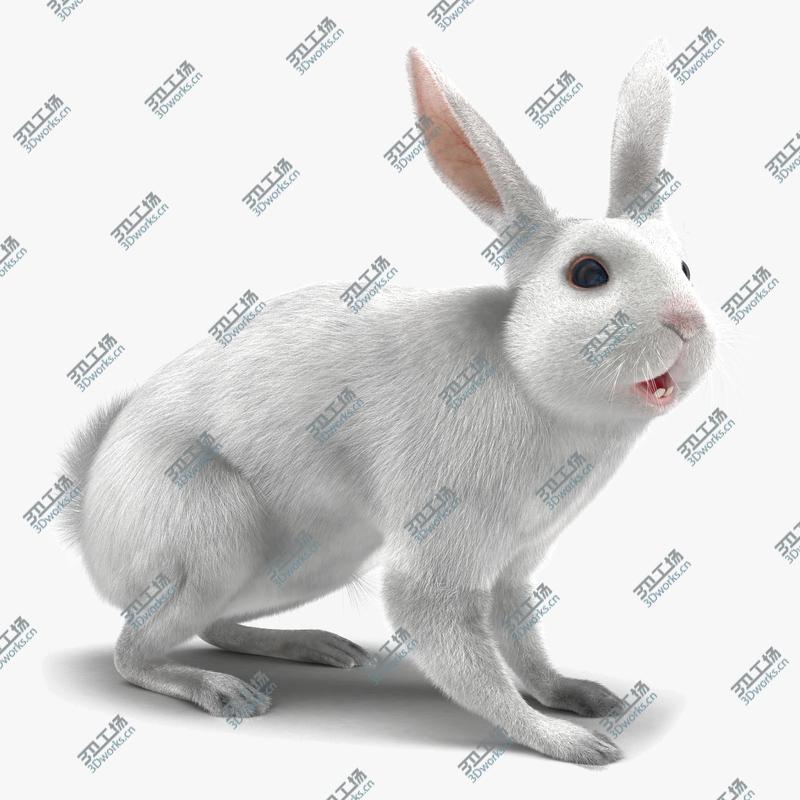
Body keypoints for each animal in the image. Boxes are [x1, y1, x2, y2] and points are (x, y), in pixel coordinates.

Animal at [60, 39, 715, 765]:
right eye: (588, 274)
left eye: (686, 269)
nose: (690, 325)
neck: (525, 379)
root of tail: (89, 526)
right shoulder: (442, 547)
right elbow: (462, 653)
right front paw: (570, 744)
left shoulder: (515, 564)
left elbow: (523, 642)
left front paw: (579, 697)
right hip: (215, 532)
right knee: (134, 651)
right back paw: (223, 691)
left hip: (314, 560)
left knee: (215, 624)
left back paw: (312, 645)